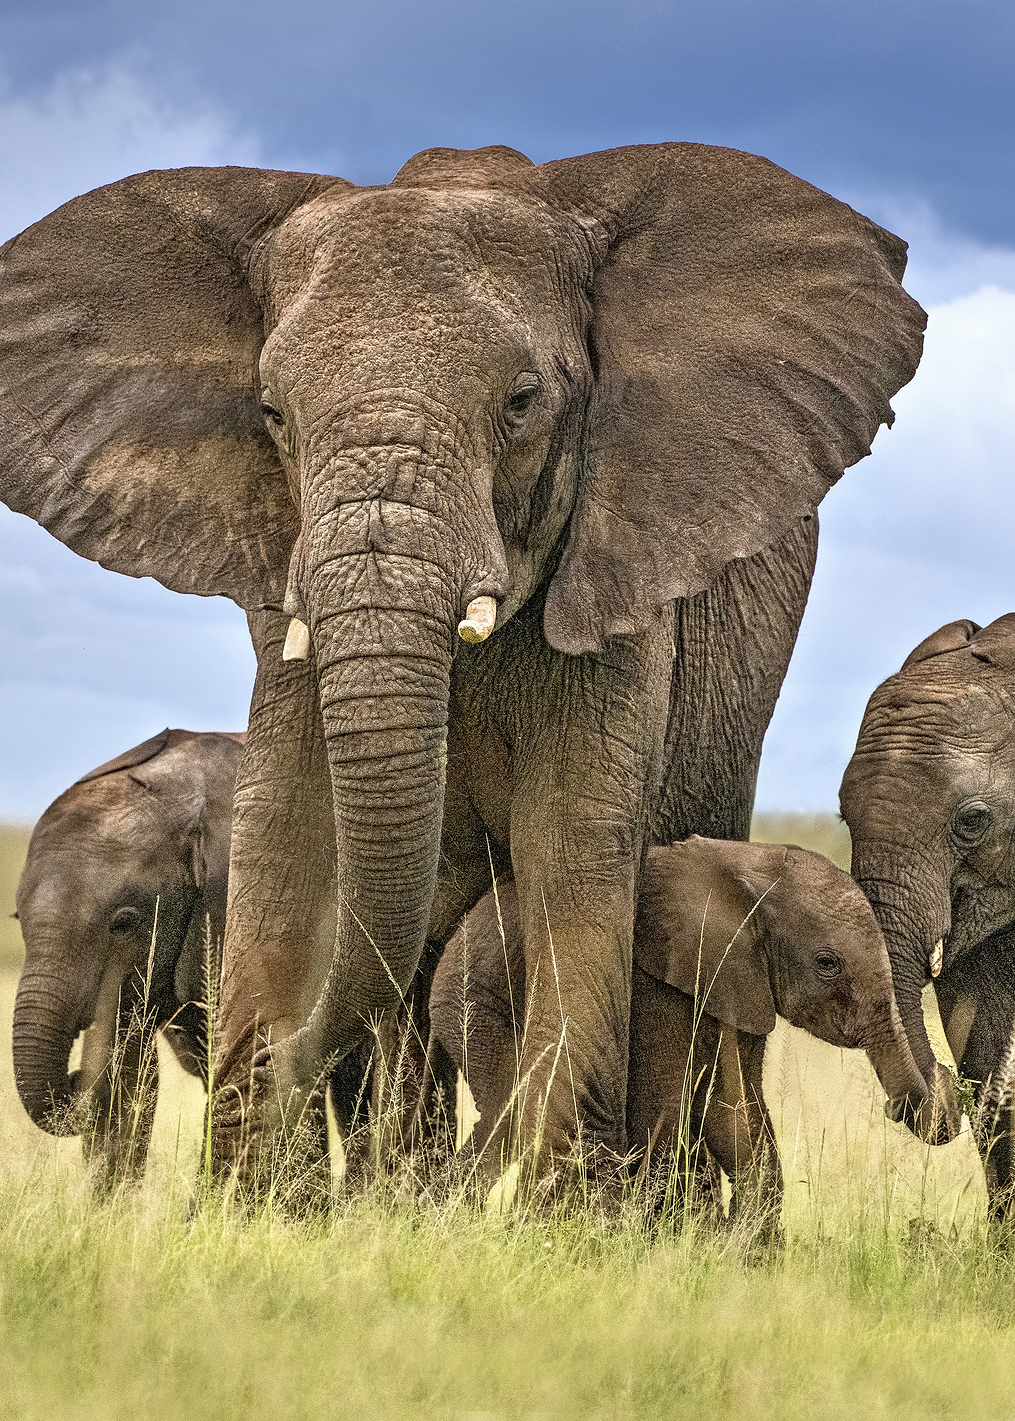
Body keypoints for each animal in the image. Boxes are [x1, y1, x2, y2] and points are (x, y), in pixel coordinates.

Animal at [429, 837, 924, 1232]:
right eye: (827, 963)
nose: (895, 1108)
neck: (750, 868)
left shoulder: (744, 982)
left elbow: (735, 1110)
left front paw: (736, 1250)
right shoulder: (655, 984)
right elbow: (667, 1105)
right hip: (474, 1002)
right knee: (506, 1113)